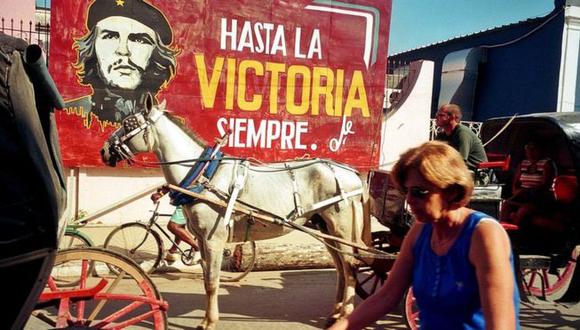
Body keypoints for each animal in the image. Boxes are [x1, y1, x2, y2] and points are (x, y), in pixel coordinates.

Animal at [100, 96, 372, 330]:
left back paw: (345, 315)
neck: (203, 175)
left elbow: (212, 281)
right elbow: (207, 278)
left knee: (350, 267)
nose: (104, 150)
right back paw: (335, 313)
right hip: (325, 228)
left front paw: (209, 322)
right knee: (341, 268)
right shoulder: (201, 239)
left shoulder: (213, 238)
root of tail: (350, 172)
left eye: (129, 123)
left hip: (341, 227)